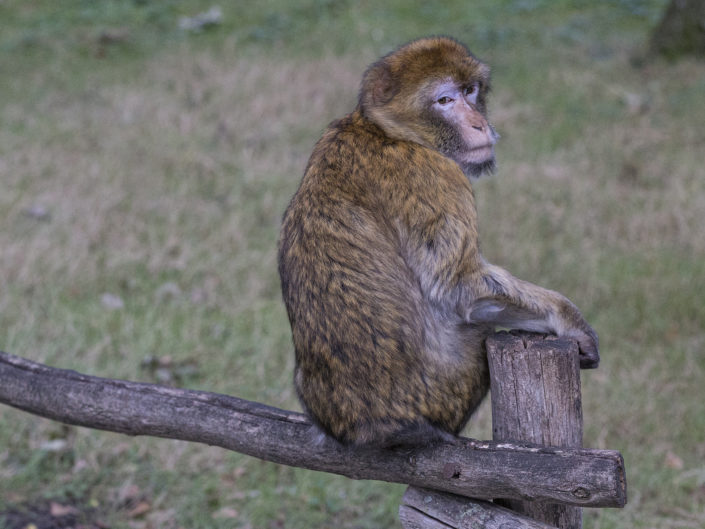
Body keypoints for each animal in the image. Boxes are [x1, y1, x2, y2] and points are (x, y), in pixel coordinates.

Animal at [277, 36, 599, 448]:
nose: (479, 123)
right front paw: (569, 319)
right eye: (445, 100)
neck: (385, 130)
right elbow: (458, 287)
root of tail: (368, 429)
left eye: (470, 91)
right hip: (447, 391)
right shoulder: (436, 178)